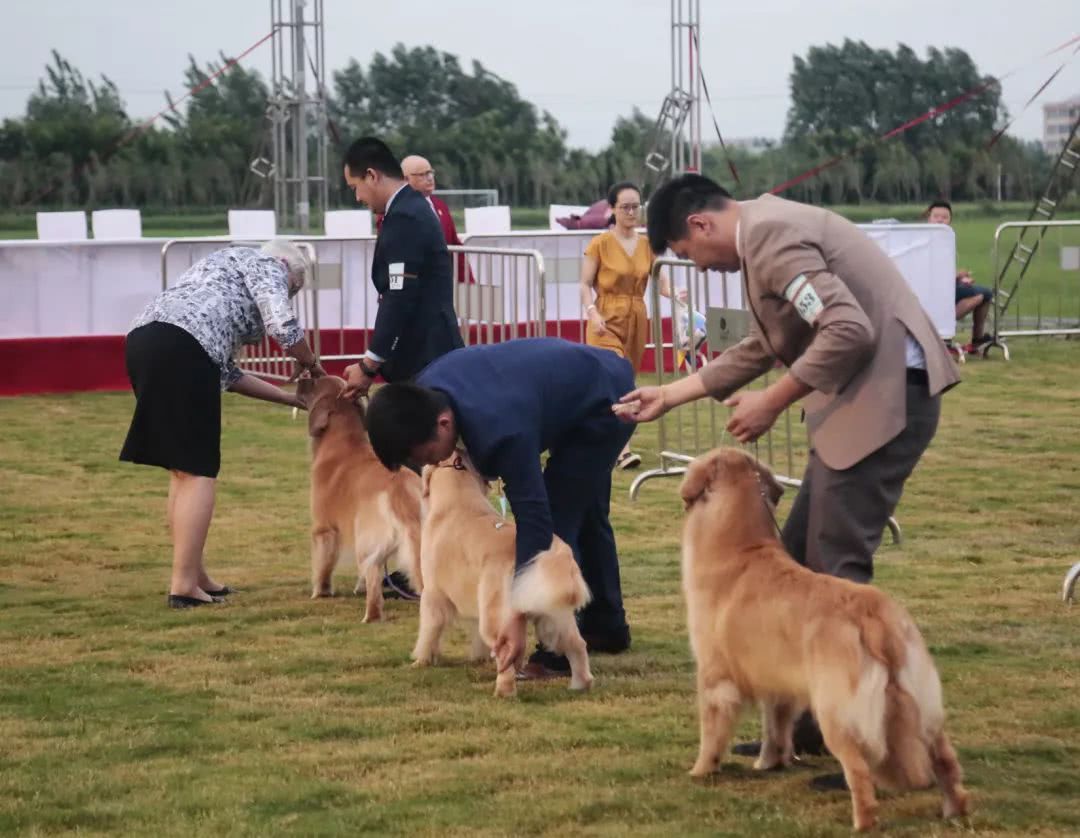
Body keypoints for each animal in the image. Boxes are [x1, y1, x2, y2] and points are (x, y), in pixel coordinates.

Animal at [306, 375, 423, 622]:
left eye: (314, 382)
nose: (302, 378)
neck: (343, 443)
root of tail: (400, 491)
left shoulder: (324, 528)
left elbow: (323, 564)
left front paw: (320, 592)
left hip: (365, 542)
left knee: (372, 579)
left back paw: (371, 616)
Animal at [410, 449, 591, 695]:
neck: (459, 497)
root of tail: (556, 551)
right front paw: (478, 657)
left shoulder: (433, 594)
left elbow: (429, 630)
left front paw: (421, 660)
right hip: (553, 616)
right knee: (578, 645)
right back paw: (580, 684)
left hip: (498, 616)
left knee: (507, 653)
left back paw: (504, 691)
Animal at [678, 449, 967, 829]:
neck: (742, 548)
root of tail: (874, 616)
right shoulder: (778, 680)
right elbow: (775, 727)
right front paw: (769, 762)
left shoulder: (715, 675)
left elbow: (711, 732)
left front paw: (700, 770)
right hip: (924, 701)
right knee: (945, 759)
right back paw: (955, 811)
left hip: (837, 711)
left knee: (859, 770)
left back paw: (863, 822)